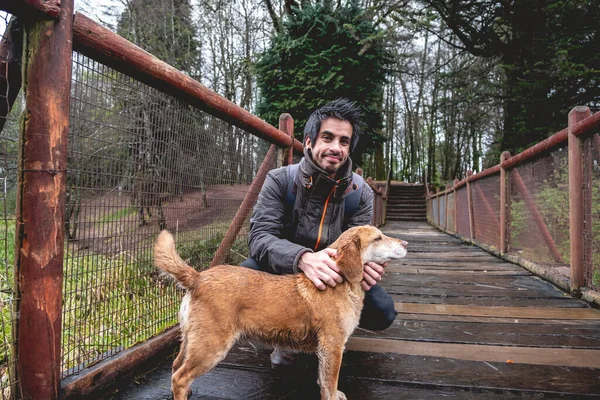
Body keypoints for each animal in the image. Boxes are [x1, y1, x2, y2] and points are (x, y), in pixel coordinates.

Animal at [154, 227, 408, 398]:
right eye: (378, 238)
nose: (406, 243)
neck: (343, 282)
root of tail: (198, 278)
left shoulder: (325, 351)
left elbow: (323, 378)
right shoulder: (333, 346)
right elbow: (330, 383)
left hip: (192, 342)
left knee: (176, 367)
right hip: (210, 348)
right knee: (179, 378)